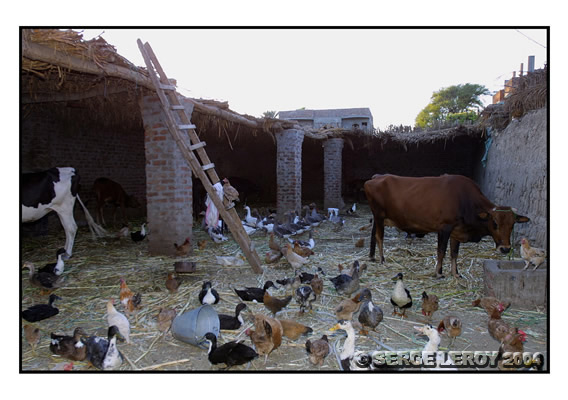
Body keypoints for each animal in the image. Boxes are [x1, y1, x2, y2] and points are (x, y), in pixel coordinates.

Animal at [364, 175, 528, 278]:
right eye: (495, 223)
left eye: (512, 225)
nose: (505, 249)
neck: (465, 201)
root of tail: (375, 178)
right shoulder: (444, 228)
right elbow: (441, 251)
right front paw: (438, 273)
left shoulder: (457, 231)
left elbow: (454, 253)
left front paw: (456, 273)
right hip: (379, 215)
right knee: (379, 236)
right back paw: (382, 259)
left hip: (377, 217)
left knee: (373, 234)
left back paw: (372, 257)